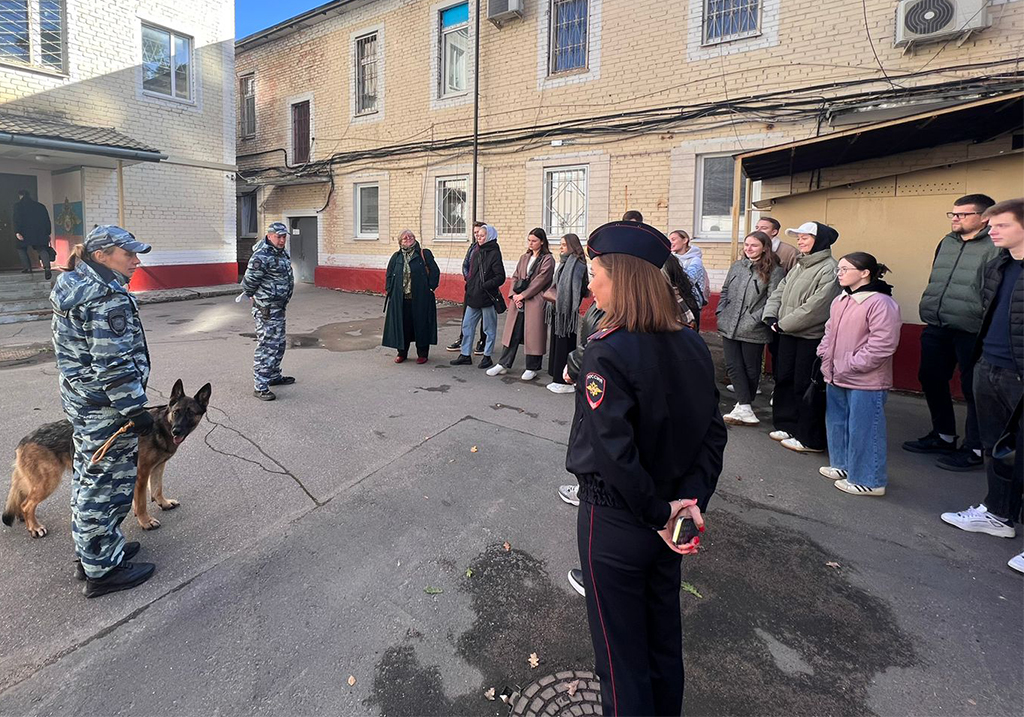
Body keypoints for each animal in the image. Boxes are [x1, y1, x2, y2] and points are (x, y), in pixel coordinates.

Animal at [3, 379, 211, 538]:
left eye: (191, 414)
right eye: (176, 412)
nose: (177, 431)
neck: (161, 426)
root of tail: (24, 441)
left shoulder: (158, 468)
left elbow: (157, 489)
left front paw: (164, 503)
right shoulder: (142, 474)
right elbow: (142, 502)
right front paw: (145, 521)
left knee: (22, 499)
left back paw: (24, 519)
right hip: (49, 482)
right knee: (27, 504)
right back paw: (35, 527)